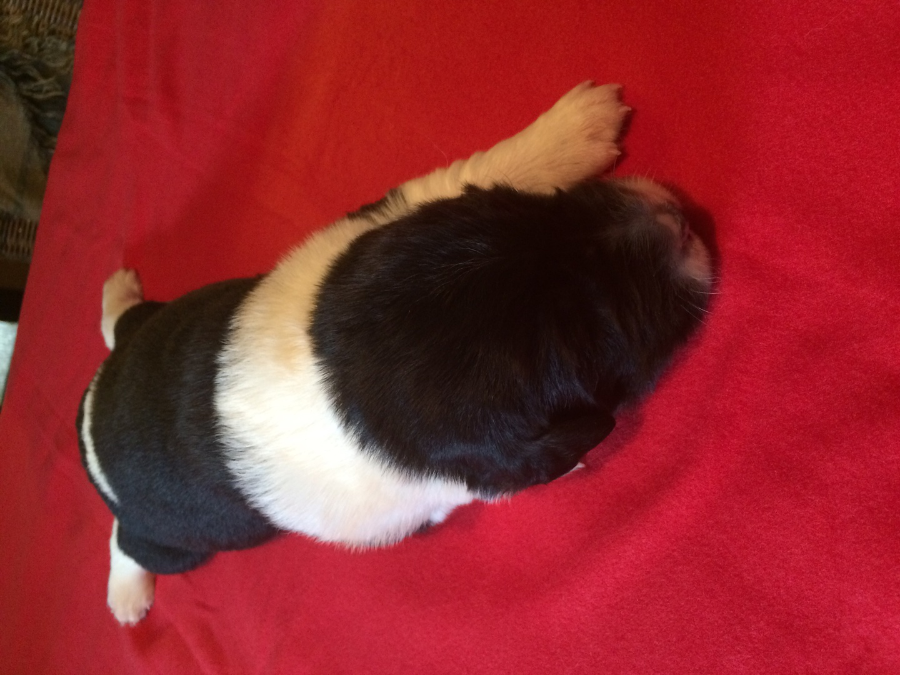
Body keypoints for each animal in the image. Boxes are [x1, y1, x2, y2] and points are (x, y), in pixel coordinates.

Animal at [77, 82, 712, 625]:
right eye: (593, 341)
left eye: (532, 211)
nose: (674, 218)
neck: (344, 380)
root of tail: (89, 422)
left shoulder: (381, 227)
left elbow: (473, 170)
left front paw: (578, 126)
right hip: (175, 541)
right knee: (128, 543)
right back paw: (126, 596)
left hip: (157, 324)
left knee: (125, 322)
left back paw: (118, 292)